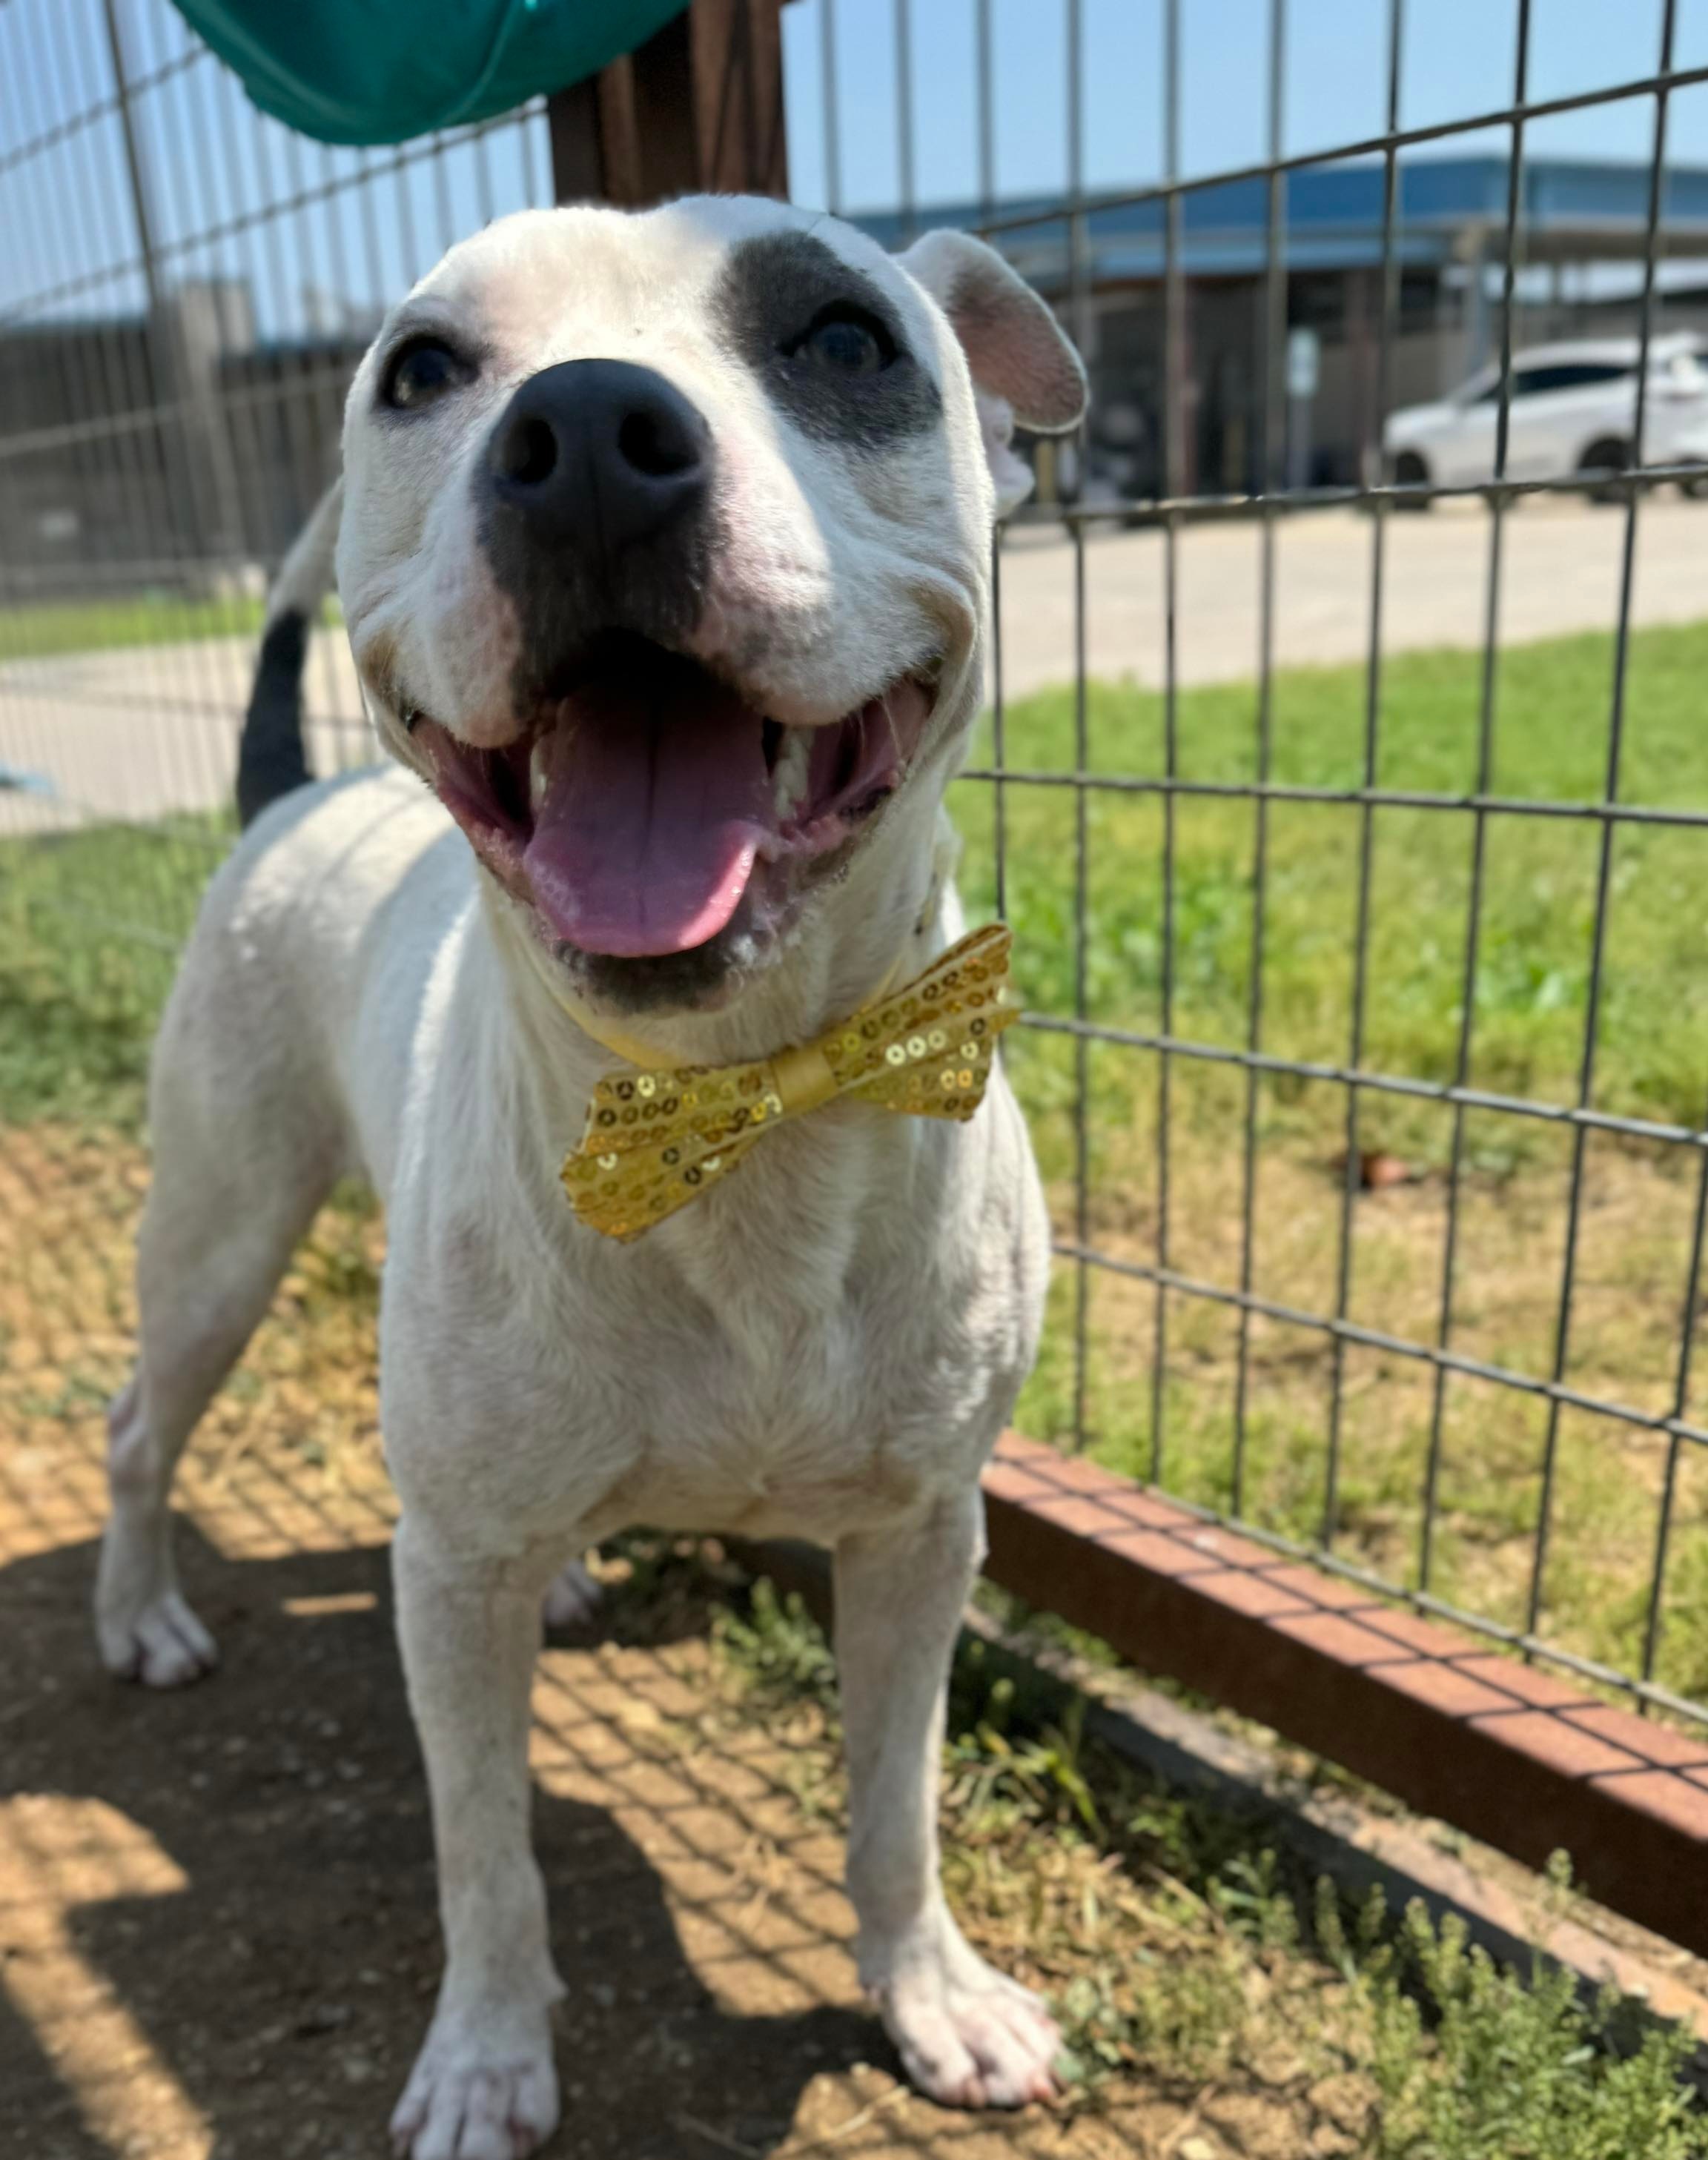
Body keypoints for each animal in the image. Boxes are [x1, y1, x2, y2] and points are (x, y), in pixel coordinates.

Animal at [93, 194, 1084, 2151]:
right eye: (421, 370)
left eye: (845, 339)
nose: (589, 438)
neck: (731, 1105)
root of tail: (289, 800)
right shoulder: (446, 1582)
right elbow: (484, 1851)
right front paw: (486, 2056)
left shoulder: (923, 1535)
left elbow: (895, 1798)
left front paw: (931, 1994)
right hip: (220, 1240)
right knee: (138, 1423)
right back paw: (142, 1611)